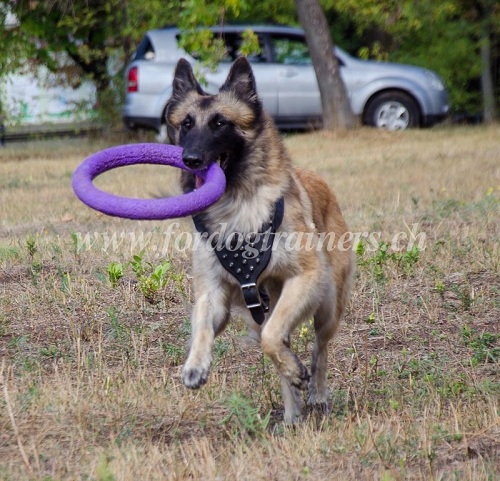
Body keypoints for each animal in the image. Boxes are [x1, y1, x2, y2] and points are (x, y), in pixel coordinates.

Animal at [166, 57, 354, 424]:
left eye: (220, 123)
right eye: (186, 124)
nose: (190, 160)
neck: (236, 205)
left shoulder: (305, 277)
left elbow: (271, 339)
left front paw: (301, 376)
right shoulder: (213, 293)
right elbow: (203, 327)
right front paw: (195, 365)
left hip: (327, 304)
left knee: (319, 348)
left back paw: (316, 393)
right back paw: (292, 413)